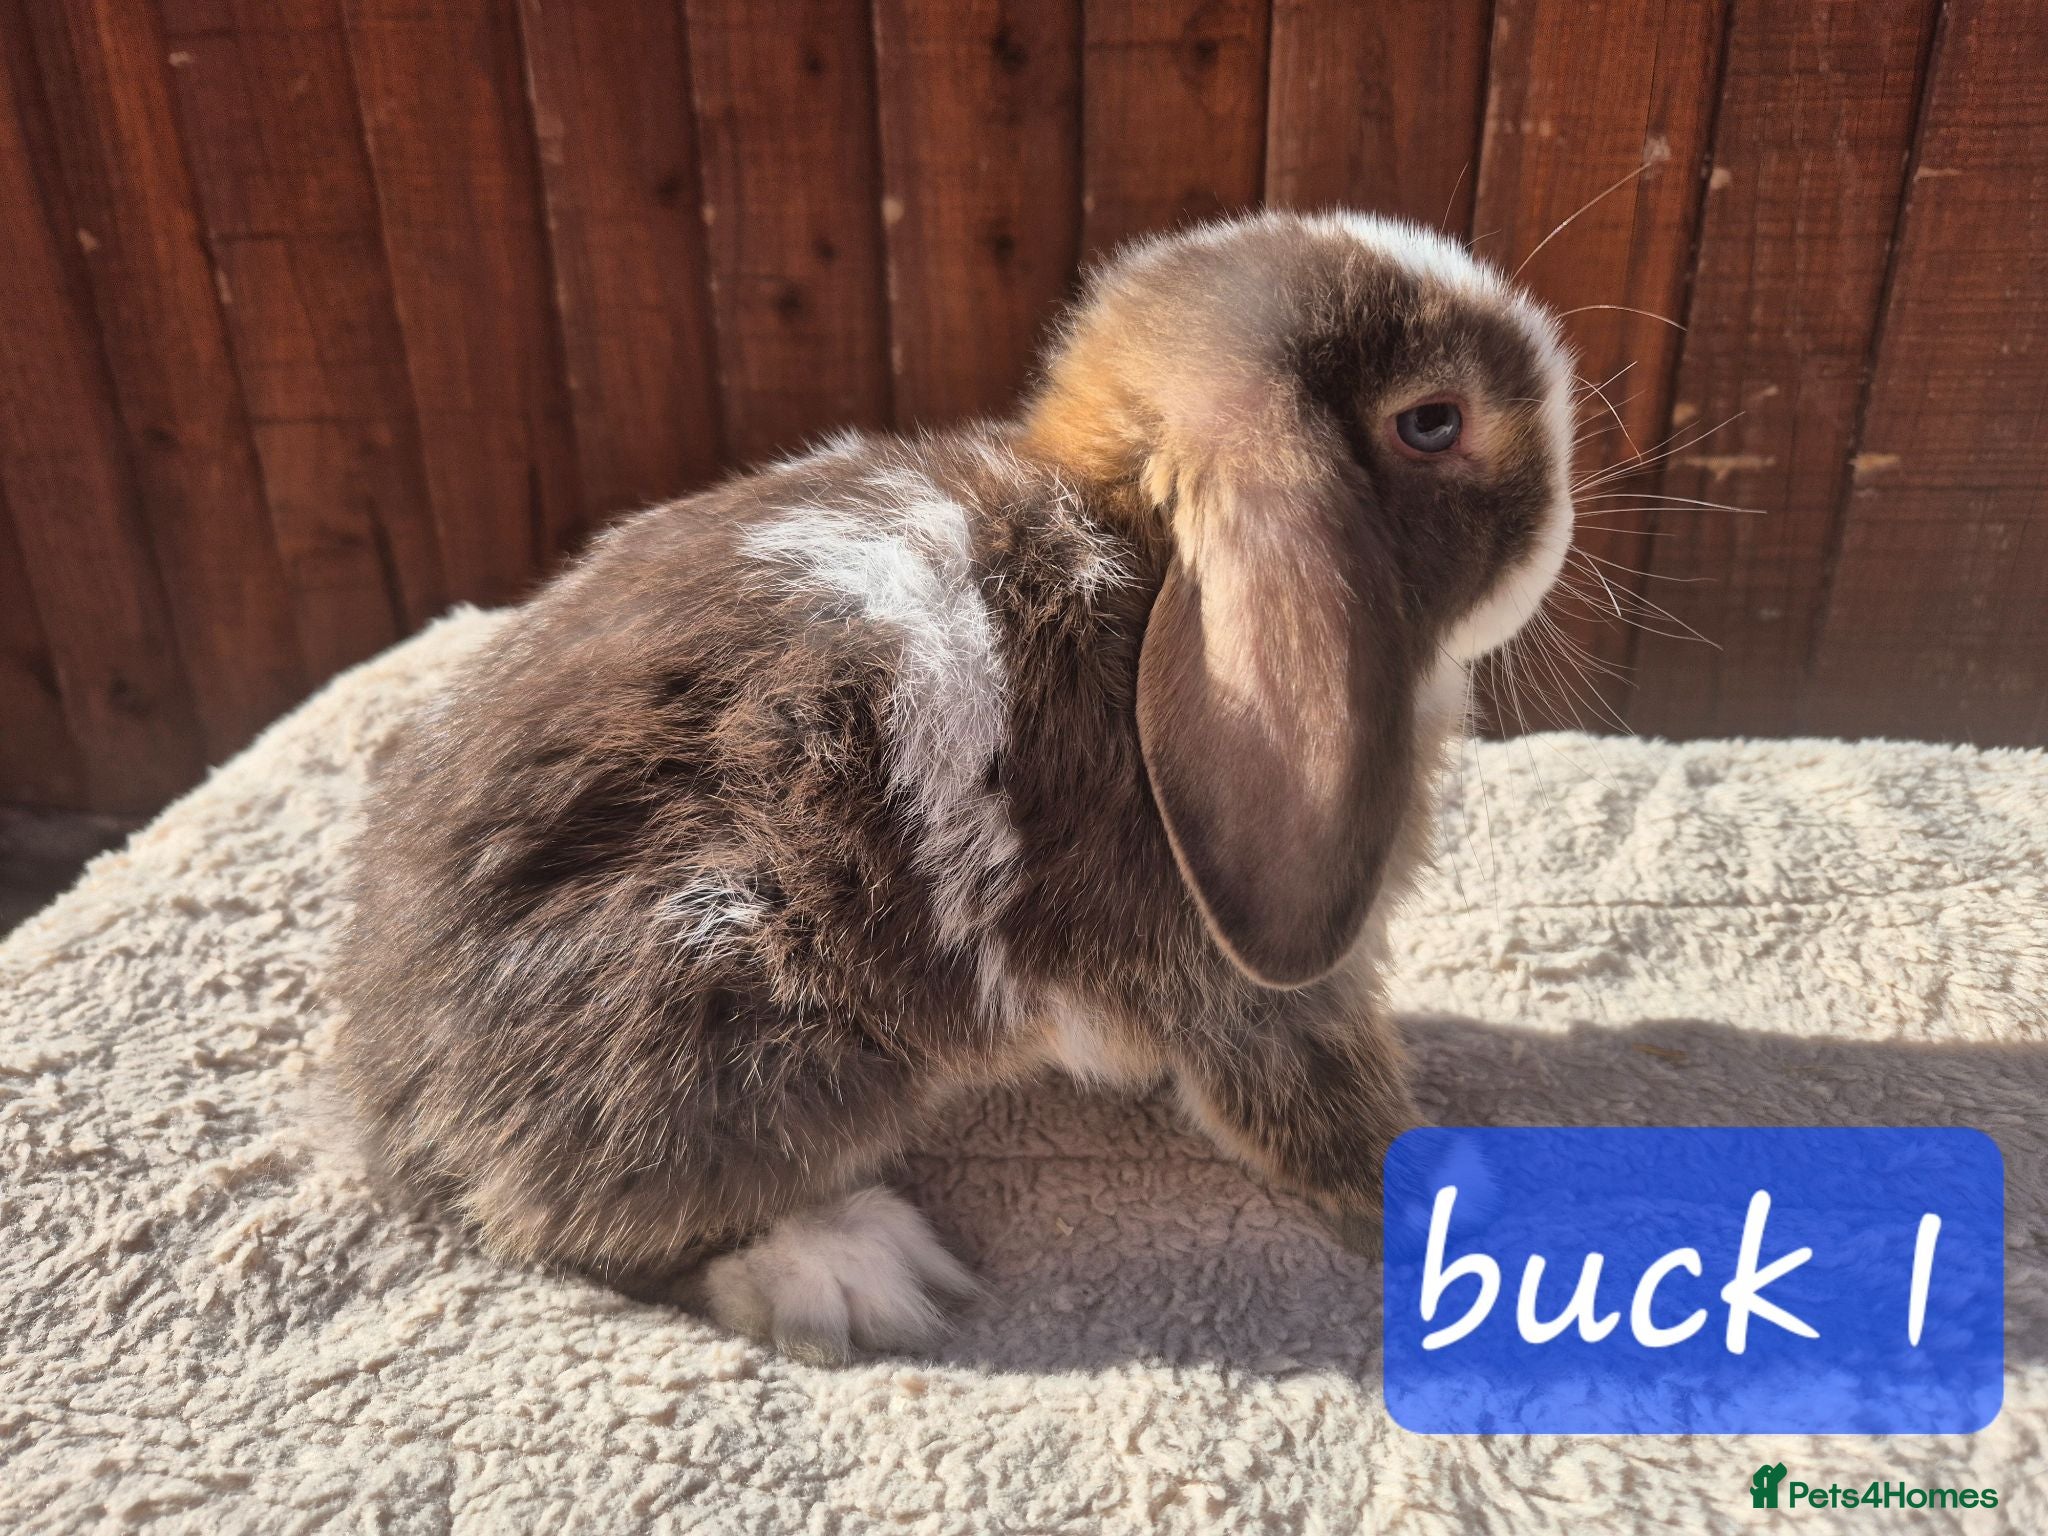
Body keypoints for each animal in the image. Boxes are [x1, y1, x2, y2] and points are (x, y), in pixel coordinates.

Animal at [328, 209, 1577, 1363]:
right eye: (1431, 421)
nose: (1568, 497)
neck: (1142, 569)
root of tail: (395, 1098)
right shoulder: (1259, 992)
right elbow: (1324, 1104)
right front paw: (1461, 1192)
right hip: (746, 1020)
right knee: (588, 1219)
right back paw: (845, 1272)